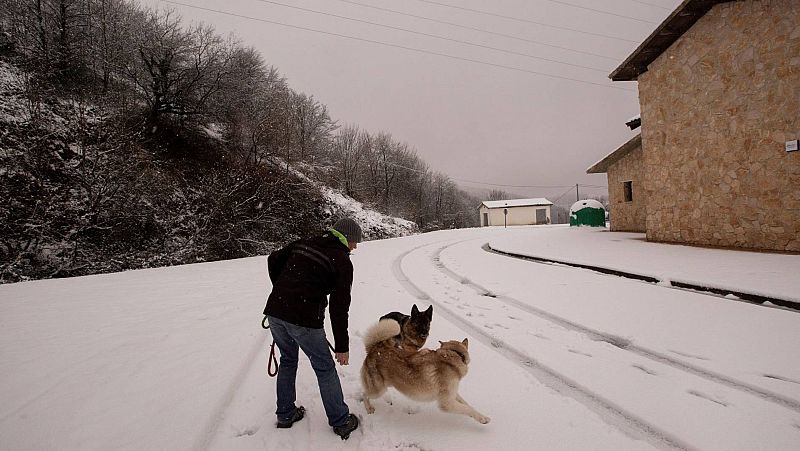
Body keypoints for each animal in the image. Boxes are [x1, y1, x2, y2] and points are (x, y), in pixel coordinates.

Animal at [360, 320, 488, 426]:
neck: (454, 355)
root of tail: (375, 348)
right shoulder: (446, 403)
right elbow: (466, 409)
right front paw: (483, 419)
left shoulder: (452, 393)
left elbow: (467, 405)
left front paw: (481, 415)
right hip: (378, 390)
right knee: (364, 394)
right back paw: (369, 408)